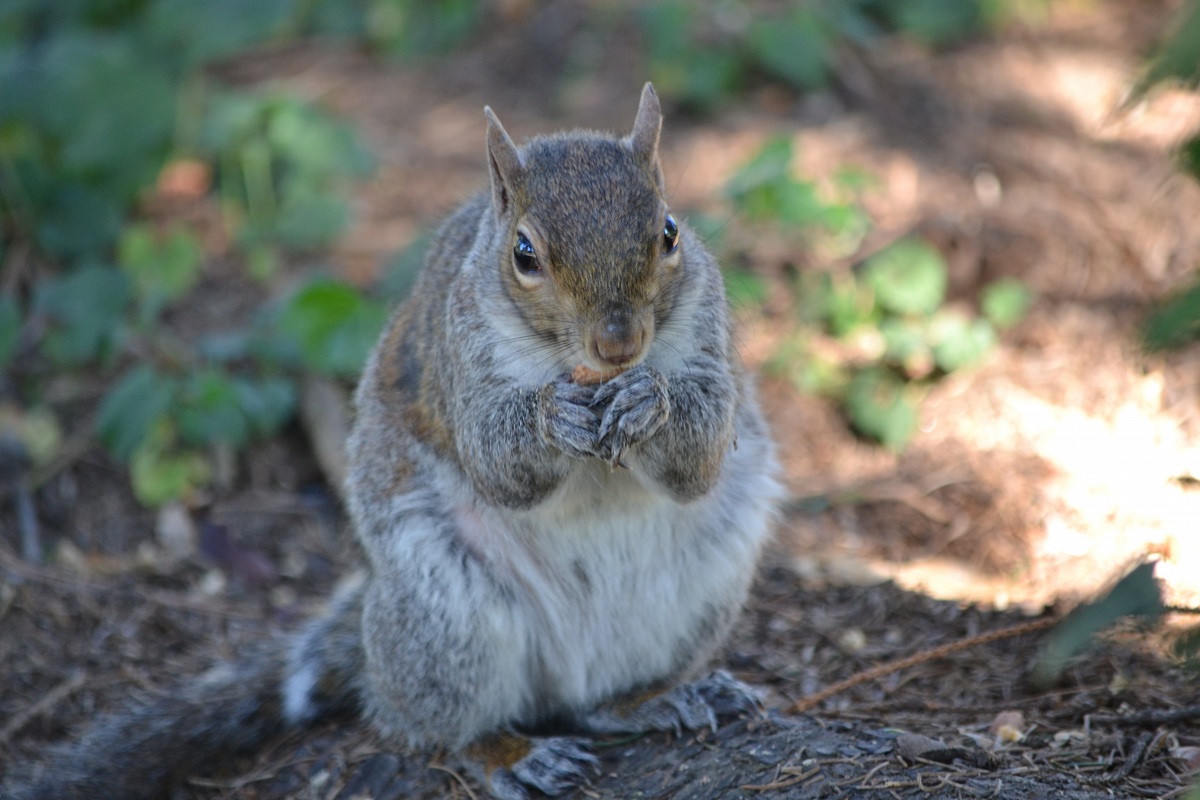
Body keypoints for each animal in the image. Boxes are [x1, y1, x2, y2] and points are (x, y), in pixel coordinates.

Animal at [12, 83, 782, 800]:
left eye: (671, 231)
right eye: (524, 254)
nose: (618, 343)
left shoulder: (707, 330)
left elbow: (700, 457)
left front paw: (650, 399)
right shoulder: (458, 351)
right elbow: (497, 462)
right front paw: (550, 417)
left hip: (702, 586)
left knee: (596, 703)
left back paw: (662, 697)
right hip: (445, 615)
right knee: (441, 726)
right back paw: (513, 754)